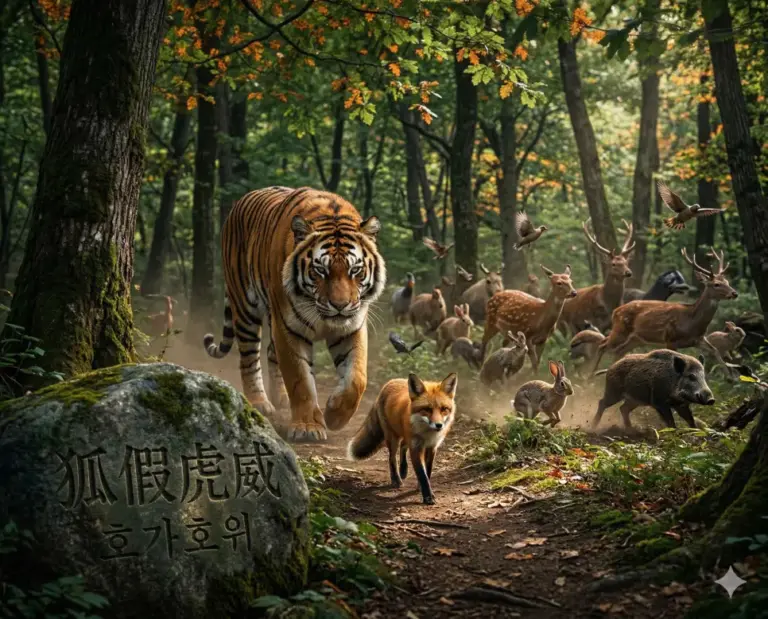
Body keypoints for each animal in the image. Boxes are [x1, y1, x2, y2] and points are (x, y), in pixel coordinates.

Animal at [203, 186, 386, 442]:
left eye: (355, 270)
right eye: (320, 270)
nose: (339, 305)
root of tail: (240, 201)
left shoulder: (352, 326)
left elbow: (356, 378)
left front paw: (334, 416)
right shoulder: (289, 328)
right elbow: (300, 380)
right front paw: (308, 427)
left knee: (270, 352)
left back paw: (280, 398)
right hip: (245, 306)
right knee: (249, 358)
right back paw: (259, 403)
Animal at [347, 372, 458, 505]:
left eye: (444, 409)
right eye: (427, 409)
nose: (439, 425)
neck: (427, 435)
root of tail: (390, 382)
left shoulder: (432, 447)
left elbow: (428, 471)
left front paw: (421, 488)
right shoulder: (416, 448)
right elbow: (422, 474)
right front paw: (428, 497)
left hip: (404, 435)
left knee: (403, 446)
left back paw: (403, 469)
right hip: (392, 438)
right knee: (392, 458)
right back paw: (396, 479)